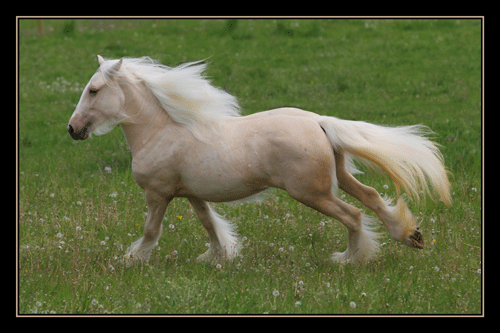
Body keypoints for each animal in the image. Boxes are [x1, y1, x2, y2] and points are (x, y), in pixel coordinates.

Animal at [67, 57, 454, 264]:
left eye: (94, 90)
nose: (72, 129)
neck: (159, 131)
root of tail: (318, 121)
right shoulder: (192, 194)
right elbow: (210, 225)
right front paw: (218, 257)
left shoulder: (158, 194)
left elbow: (151, 230)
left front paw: (131, 260)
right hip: (338, 176)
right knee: (372, 196)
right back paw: (411, 236)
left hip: (311, 192)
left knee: (353, 215)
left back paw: (348, 259)